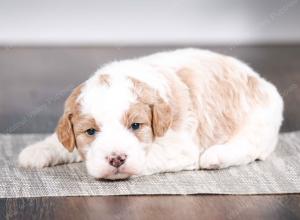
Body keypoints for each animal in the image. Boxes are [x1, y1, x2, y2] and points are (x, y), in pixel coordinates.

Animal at [18, 48, 284, 179]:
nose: (116, 159)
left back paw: (215, 157)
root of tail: (260, 79)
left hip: (258, 122)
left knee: (251, 147)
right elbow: (60, 141)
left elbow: (147, 157)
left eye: (136, 126)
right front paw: (36, 151)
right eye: (90, 131)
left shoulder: (180, 145)